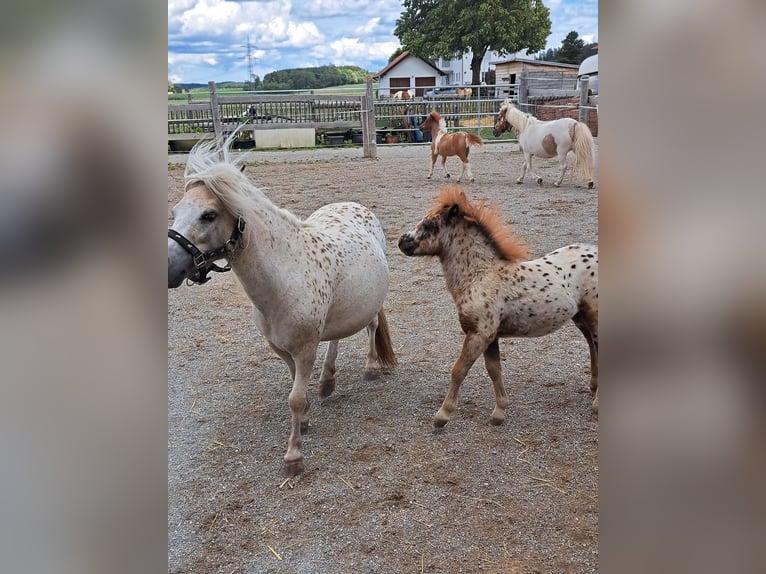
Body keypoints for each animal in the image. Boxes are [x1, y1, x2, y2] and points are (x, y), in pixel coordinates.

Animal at [167, 135, 396, 476]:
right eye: (175, 211)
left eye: (208, 215)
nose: (168, 267)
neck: (286, 276)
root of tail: (356, 206)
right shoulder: (282, 349)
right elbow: (295, 390)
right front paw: (306, 420)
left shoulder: (304, 350)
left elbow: (295, 399)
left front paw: (293, 456)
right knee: (337, 338)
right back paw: (327, 380)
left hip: (370, 303)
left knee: (371, 326)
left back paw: (369, 369)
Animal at [400, 187, 604, 426]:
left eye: (429, 225)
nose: (402, 242)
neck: (480, 275)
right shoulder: (490, 336)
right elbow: (494, 370)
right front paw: (499, 412)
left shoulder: (479, 333)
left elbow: (458, 370)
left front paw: (442, 415)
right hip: (581, 317)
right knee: (592, 346)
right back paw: (594, 386)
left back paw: (597, 404)